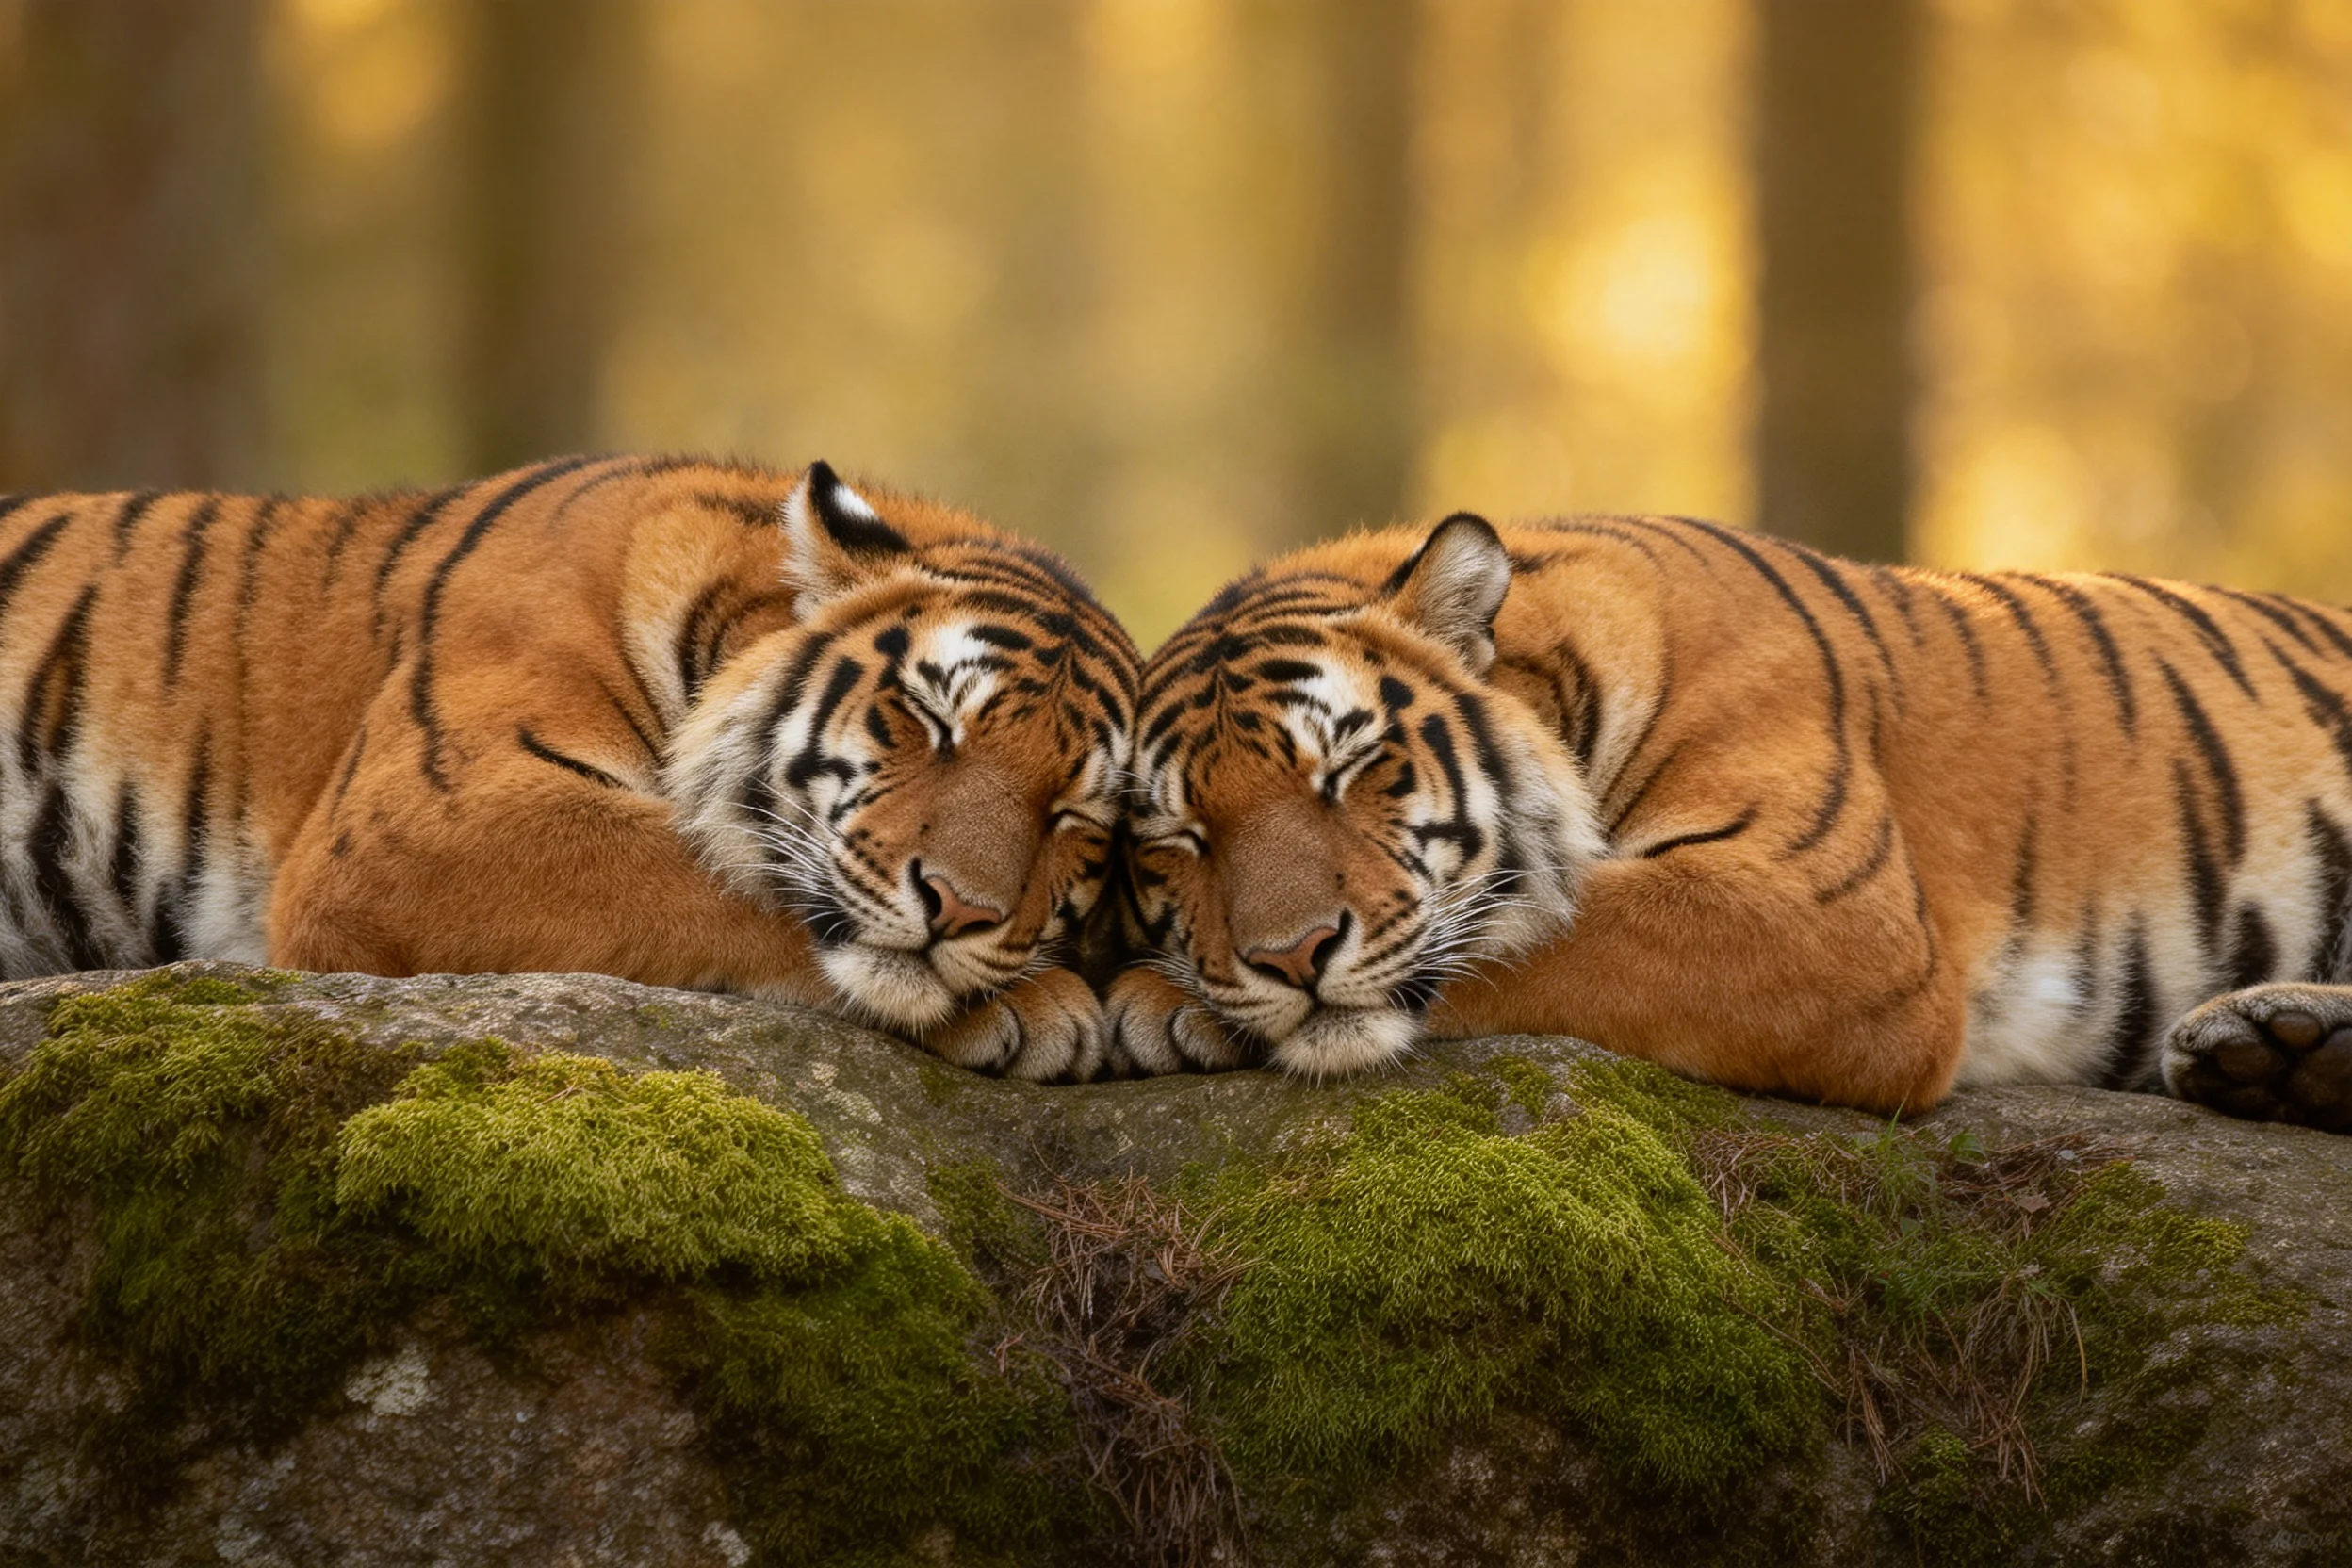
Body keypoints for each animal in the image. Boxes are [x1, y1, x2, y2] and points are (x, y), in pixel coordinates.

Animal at [0, 455, 1137, 1079]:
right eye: (930, 720)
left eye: (1073, 817)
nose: (963, 910)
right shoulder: (431, 816)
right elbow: (710, 874)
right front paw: (1044, 1003)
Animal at [1108, 509, 2352, 1132]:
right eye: (1181, 840)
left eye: (1350, 769)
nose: (1291, 956)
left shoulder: (1820, 913)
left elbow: (1527, 939)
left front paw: (1154, 1003)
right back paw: (2277, 1053)